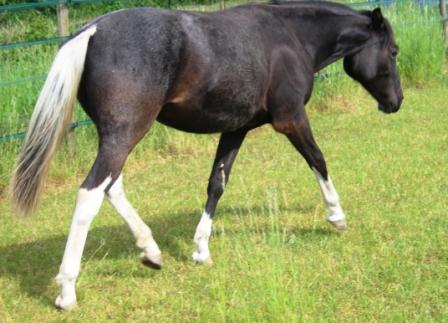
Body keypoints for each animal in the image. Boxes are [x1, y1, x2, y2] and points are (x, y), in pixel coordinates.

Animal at [9, 0, 402, 312]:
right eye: (394, 51)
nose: (396, 102)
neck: (291, 37)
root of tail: (91, 31)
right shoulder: (291, 119)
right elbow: (318, 160)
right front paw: (337, 216)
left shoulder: (236, 128)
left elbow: (217, 182)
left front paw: (201, 249)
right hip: (125, 133)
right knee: (91, 193)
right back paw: (67, 291)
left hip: (116, 135)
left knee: (112, 186)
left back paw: (151, 251)